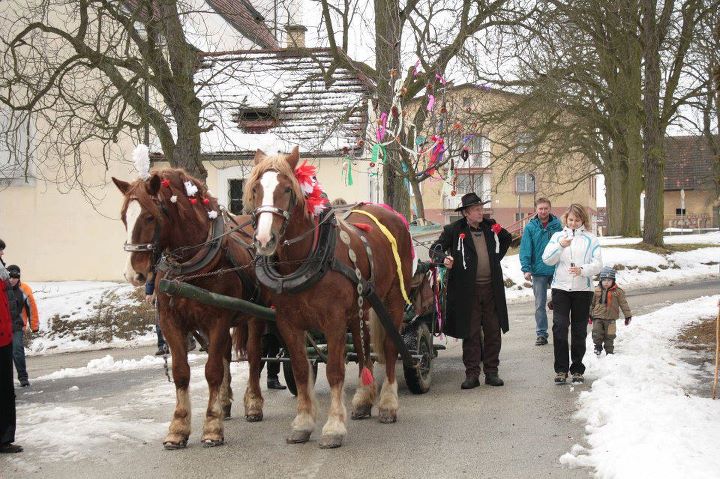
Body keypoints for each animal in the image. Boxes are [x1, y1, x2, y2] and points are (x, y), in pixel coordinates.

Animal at [114, 169, 266, 450]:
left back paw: (253, 403)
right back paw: (225, 403)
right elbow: (182, 373)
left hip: (254, 316)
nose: (133, 274)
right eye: (123, 217)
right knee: (226, 355)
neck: (190, 269)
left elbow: (212, 371)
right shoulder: (171, 321)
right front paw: (178, 428)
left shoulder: (218, 319)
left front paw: (212, 427)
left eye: (150, 216)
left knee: (253, 357)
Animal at [243, 147, 414, 450]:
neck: (305, 259)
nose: (264, 240)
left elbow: (335, 370)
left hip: (393, 298)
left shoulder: (333, 321)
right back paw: (363, 398)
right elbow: (301, 371)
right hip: (359, 306)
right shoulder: (288, 322)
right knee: (362, 346)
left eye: (287, 189)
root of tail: (391, 214)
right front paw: (302, 423)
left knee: (391, 348)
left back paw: (387, 404)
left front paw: (333, 427)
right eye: (255, 189)